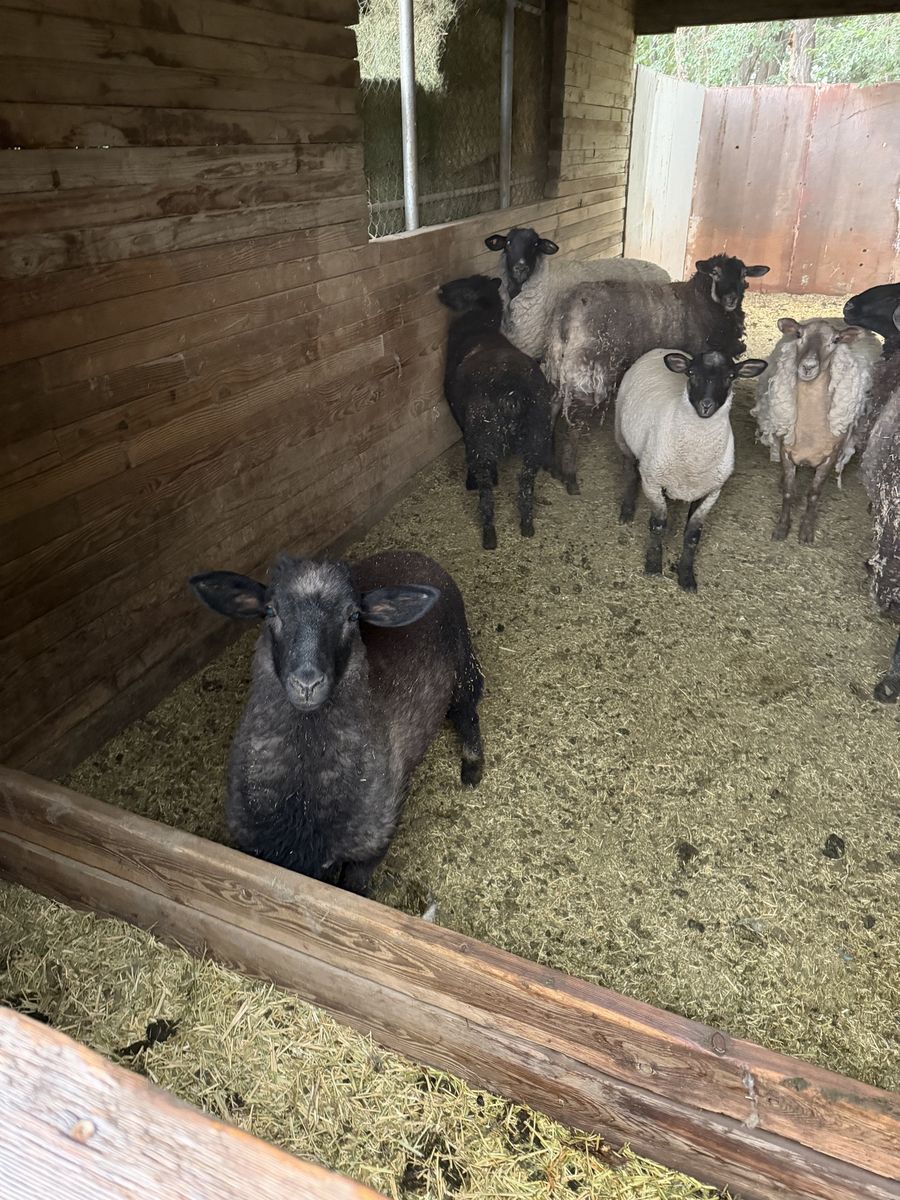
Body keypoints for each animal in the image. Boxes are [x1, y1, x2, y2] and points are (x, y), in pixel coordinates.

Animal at [189, 550, 484, 893]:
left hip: (462, 661)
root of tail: (412, 554)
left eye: (353, 616)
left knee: (467, 712)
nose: (307, 683)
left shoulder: (370, 848)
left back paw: (472, 766)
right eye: (270, 610)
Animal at [438, 274, 554, 550]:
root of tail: (513, 395)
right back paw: (526, 525)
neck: (480, 325)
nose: (441, 290)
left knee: (485, 486)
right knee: (526, 481)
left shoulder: (459, 413)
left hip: (482, 430)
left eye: (467, 286)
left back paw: (489, 533)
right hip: (537, 435)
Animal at [545, 254, 770, 493]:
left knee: (552, 406)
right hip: (588, 371)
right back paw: (569, 477)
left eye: (744, 274)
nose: (731, 298)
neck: (701, 302)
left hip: (559, 365)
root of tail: (566, 314)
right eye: (715, 273)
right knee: (573, 425)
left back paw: (551, 462)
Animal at [615, 348, 767, 591]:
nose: (706, 405)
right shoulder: (653, 482)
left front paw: (686, 575)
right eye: (692, 373)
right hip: (622, 436)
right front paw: (653, 564)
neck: (694, 460)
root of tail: (660, 350)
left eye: (730, 377)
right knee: (630, 472)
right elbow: (658, 525)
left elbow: (693, 535)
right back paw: (627, 510)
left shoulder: (711, 492)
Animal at [751, 316, 881, 544]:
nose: (808, 367)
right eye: (799, 335)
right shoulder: (786, 450)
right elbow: (788, 491)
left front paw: (806, 530)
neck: (809, 430)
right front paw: (782, 528)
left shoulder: (831, 456)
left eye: (835, 340)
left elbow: (814, 493)